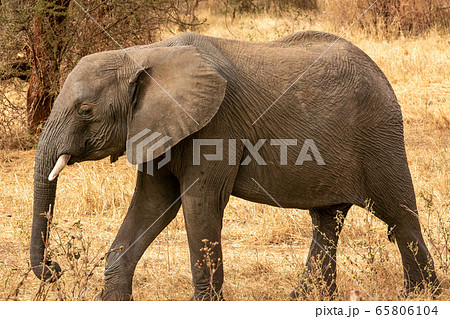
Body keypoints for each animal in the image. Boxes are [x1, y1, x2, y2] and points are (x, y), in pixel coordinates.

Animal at [30, 31, 440, 302]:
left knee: (398, 214)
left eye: (85, 111)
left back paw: (418, 296)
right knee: (327, 220)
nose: (53, 270)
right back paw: (304, 298)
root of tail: (380, 72)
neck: (144, 55)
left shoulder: (216, 124)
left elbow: (200, 204)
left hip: (379, 135)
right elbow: (152, 203)